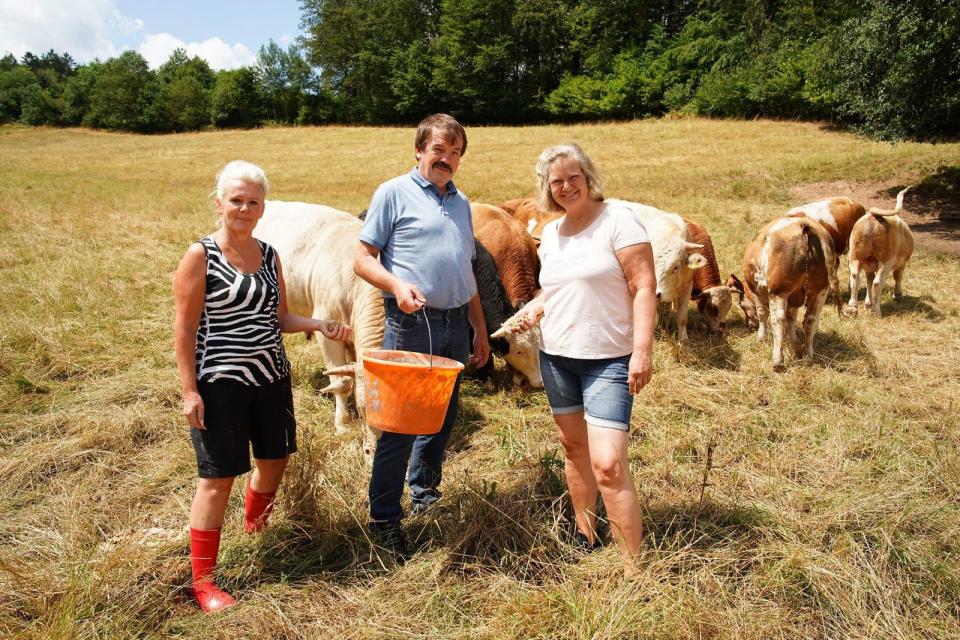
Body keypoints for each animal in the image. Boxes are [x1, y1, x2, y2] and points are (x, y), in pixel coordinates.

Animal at [608, 200, 704, 342]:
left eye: (675, 267)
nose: (657, 293)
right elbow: (653, 319)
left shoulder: (687, 287)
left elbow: (682, 318)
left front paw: (683, 339)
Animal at [736, 215, 840, 370]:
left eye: (742, 306)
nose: (749, 325)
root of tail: (805, 224)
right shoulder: (795, 296)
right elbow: (791, 317)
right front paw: (795, 345)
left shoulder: (758, 290)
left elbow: (762, 313)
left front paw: (761, 337)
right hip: (820, 291)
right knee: (811, 320)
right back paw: (807, 356)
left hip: (779, 291)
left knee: (778, 319)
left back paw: (777, 361)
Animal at [848, 186, 916, 316]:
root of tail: (873, 215)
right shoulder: (902, 263)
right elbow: (897, 276)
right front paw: (897, 294)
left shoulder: (868, 266)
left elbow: (868, 280)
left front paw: (868, 303)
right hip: (886, 261)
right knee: (878, 282)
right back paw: (877, 311)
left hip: (855, 257)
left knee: (855, 278)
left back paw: (852, 307)